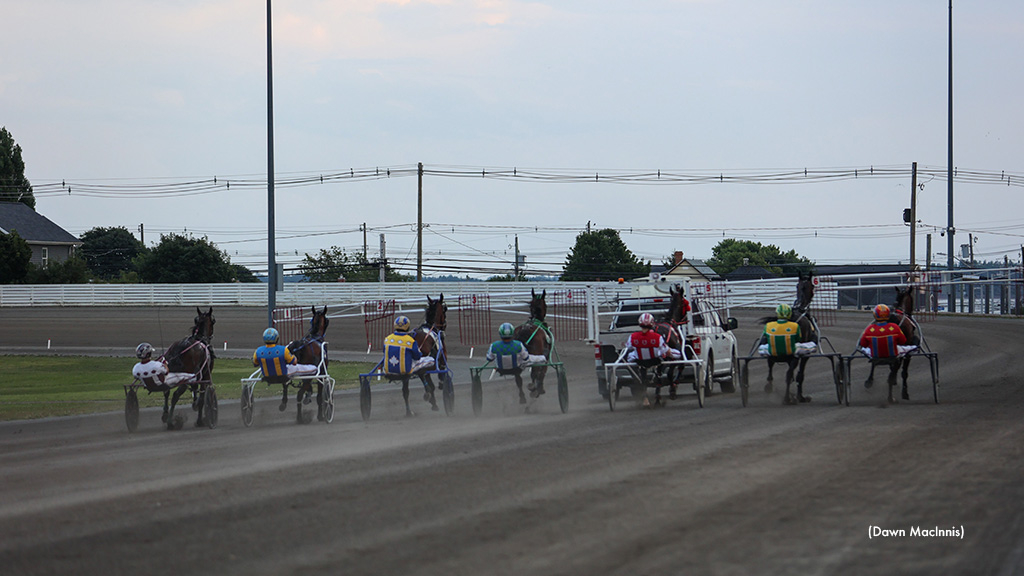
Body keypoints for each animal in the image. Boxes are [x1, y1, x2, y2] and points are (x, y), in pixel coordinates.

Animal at [761, 272, 823, 403]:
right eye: (812, 286)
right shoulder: (804, 355)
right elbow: (800, 375)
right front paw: (800, 396)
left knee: (770, 366)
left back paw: (770, 386)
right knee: (789, 374)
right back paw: (787, 398)